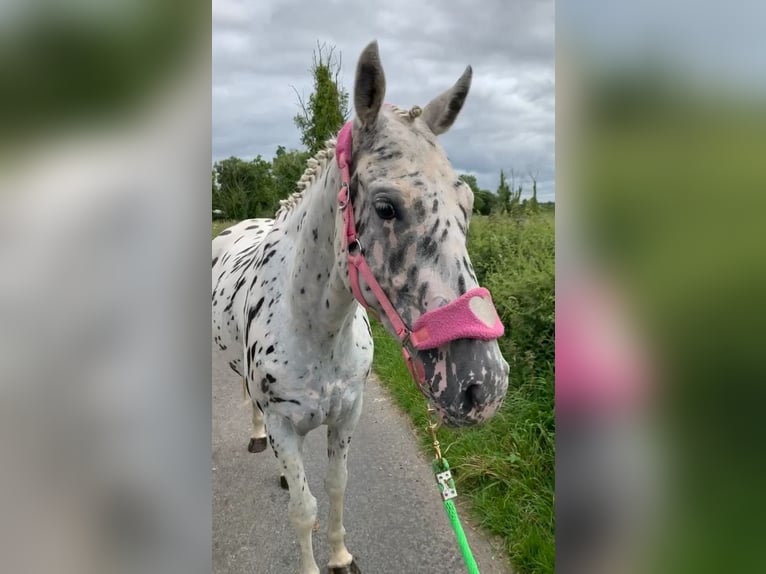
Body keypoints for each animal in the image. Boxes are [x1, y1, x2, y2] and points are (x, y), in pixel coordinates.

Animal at [212, 41, 510, 574]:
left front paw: (339, 556)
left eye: (469, 205)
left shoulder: (348, 412)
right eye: (387, 206)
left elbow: (334, 488)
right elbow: (302, 510)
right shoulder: (284, 423)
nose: (484, 386)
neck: (316, 329)